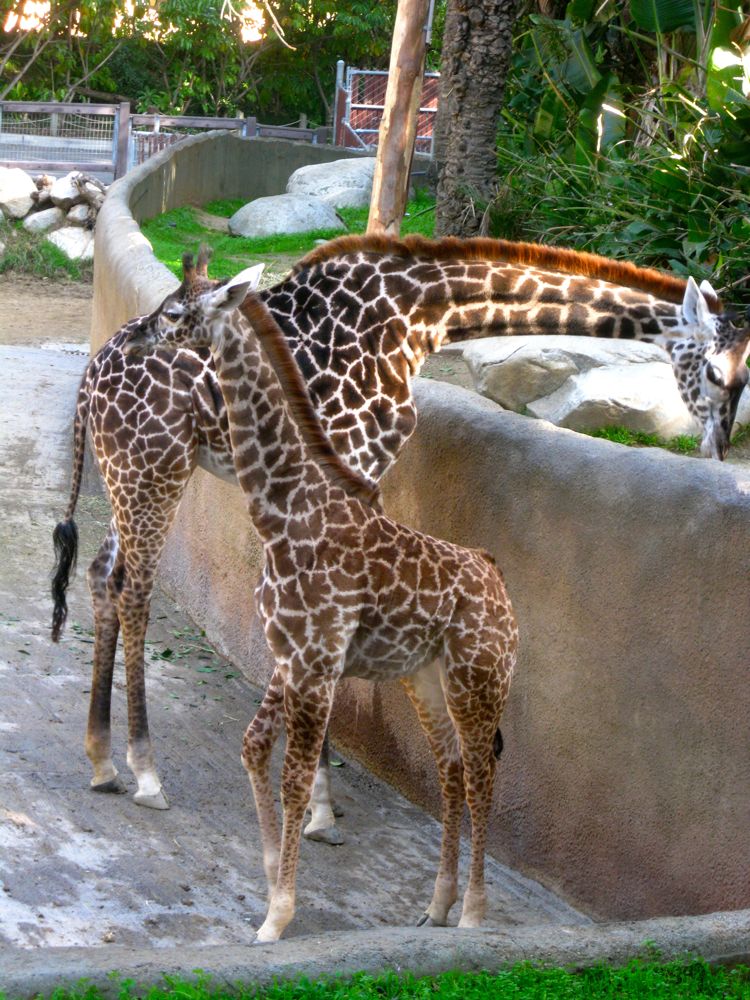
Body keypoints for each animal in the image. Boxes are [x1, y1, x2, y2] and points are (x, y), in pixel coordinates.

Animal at [51, 234, 750, 828]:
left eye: (745, 381)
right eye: (719, 376)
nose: (719, 452)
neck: (416, 317)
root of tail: (90, 377)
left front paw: (319, 797)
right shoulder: (355, 456)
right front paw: (321, 808)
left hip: (132, 477)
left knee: (102, 574)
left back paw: (101, 760)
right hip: (153, 471)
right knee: (134, 589)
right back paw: (146, 772)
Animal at [125, 254, 516, 940]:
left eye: (175, 311)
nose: (134, 335)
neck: (282, 512)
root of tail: (496, 578)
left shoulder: (314, 661)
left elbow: (297, 780)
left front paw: (279, 915)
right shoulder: (289, 654)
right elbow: (257, 751)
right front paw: (269, 886)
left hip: (480, 677)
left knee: (481, 773)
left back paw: (471, 915)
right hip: (425, 676)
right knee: (450, 767)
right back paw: (436, 906)